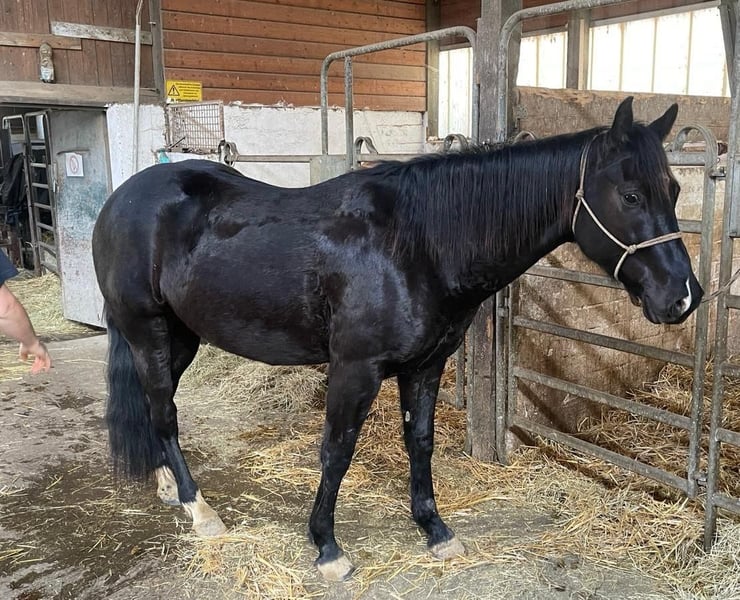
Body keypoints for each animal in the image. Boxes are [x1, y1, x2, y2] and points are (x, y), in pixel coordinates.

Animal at [91, 97, 702, 581]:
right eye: (630, 195)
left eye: (673, 189)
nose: (683, 296)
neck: (418, 244)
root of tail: (123, 199)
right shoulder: (354, 369)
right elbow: (336, 451)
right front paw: (327, 547)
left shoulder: (426, 366)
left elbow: (421, 442)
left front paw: (435, 529)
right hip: (146, 330)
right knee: (164, 411)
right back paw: (200, 511)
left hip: (180, 337)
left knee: (156, 405)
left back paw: (167, 486)